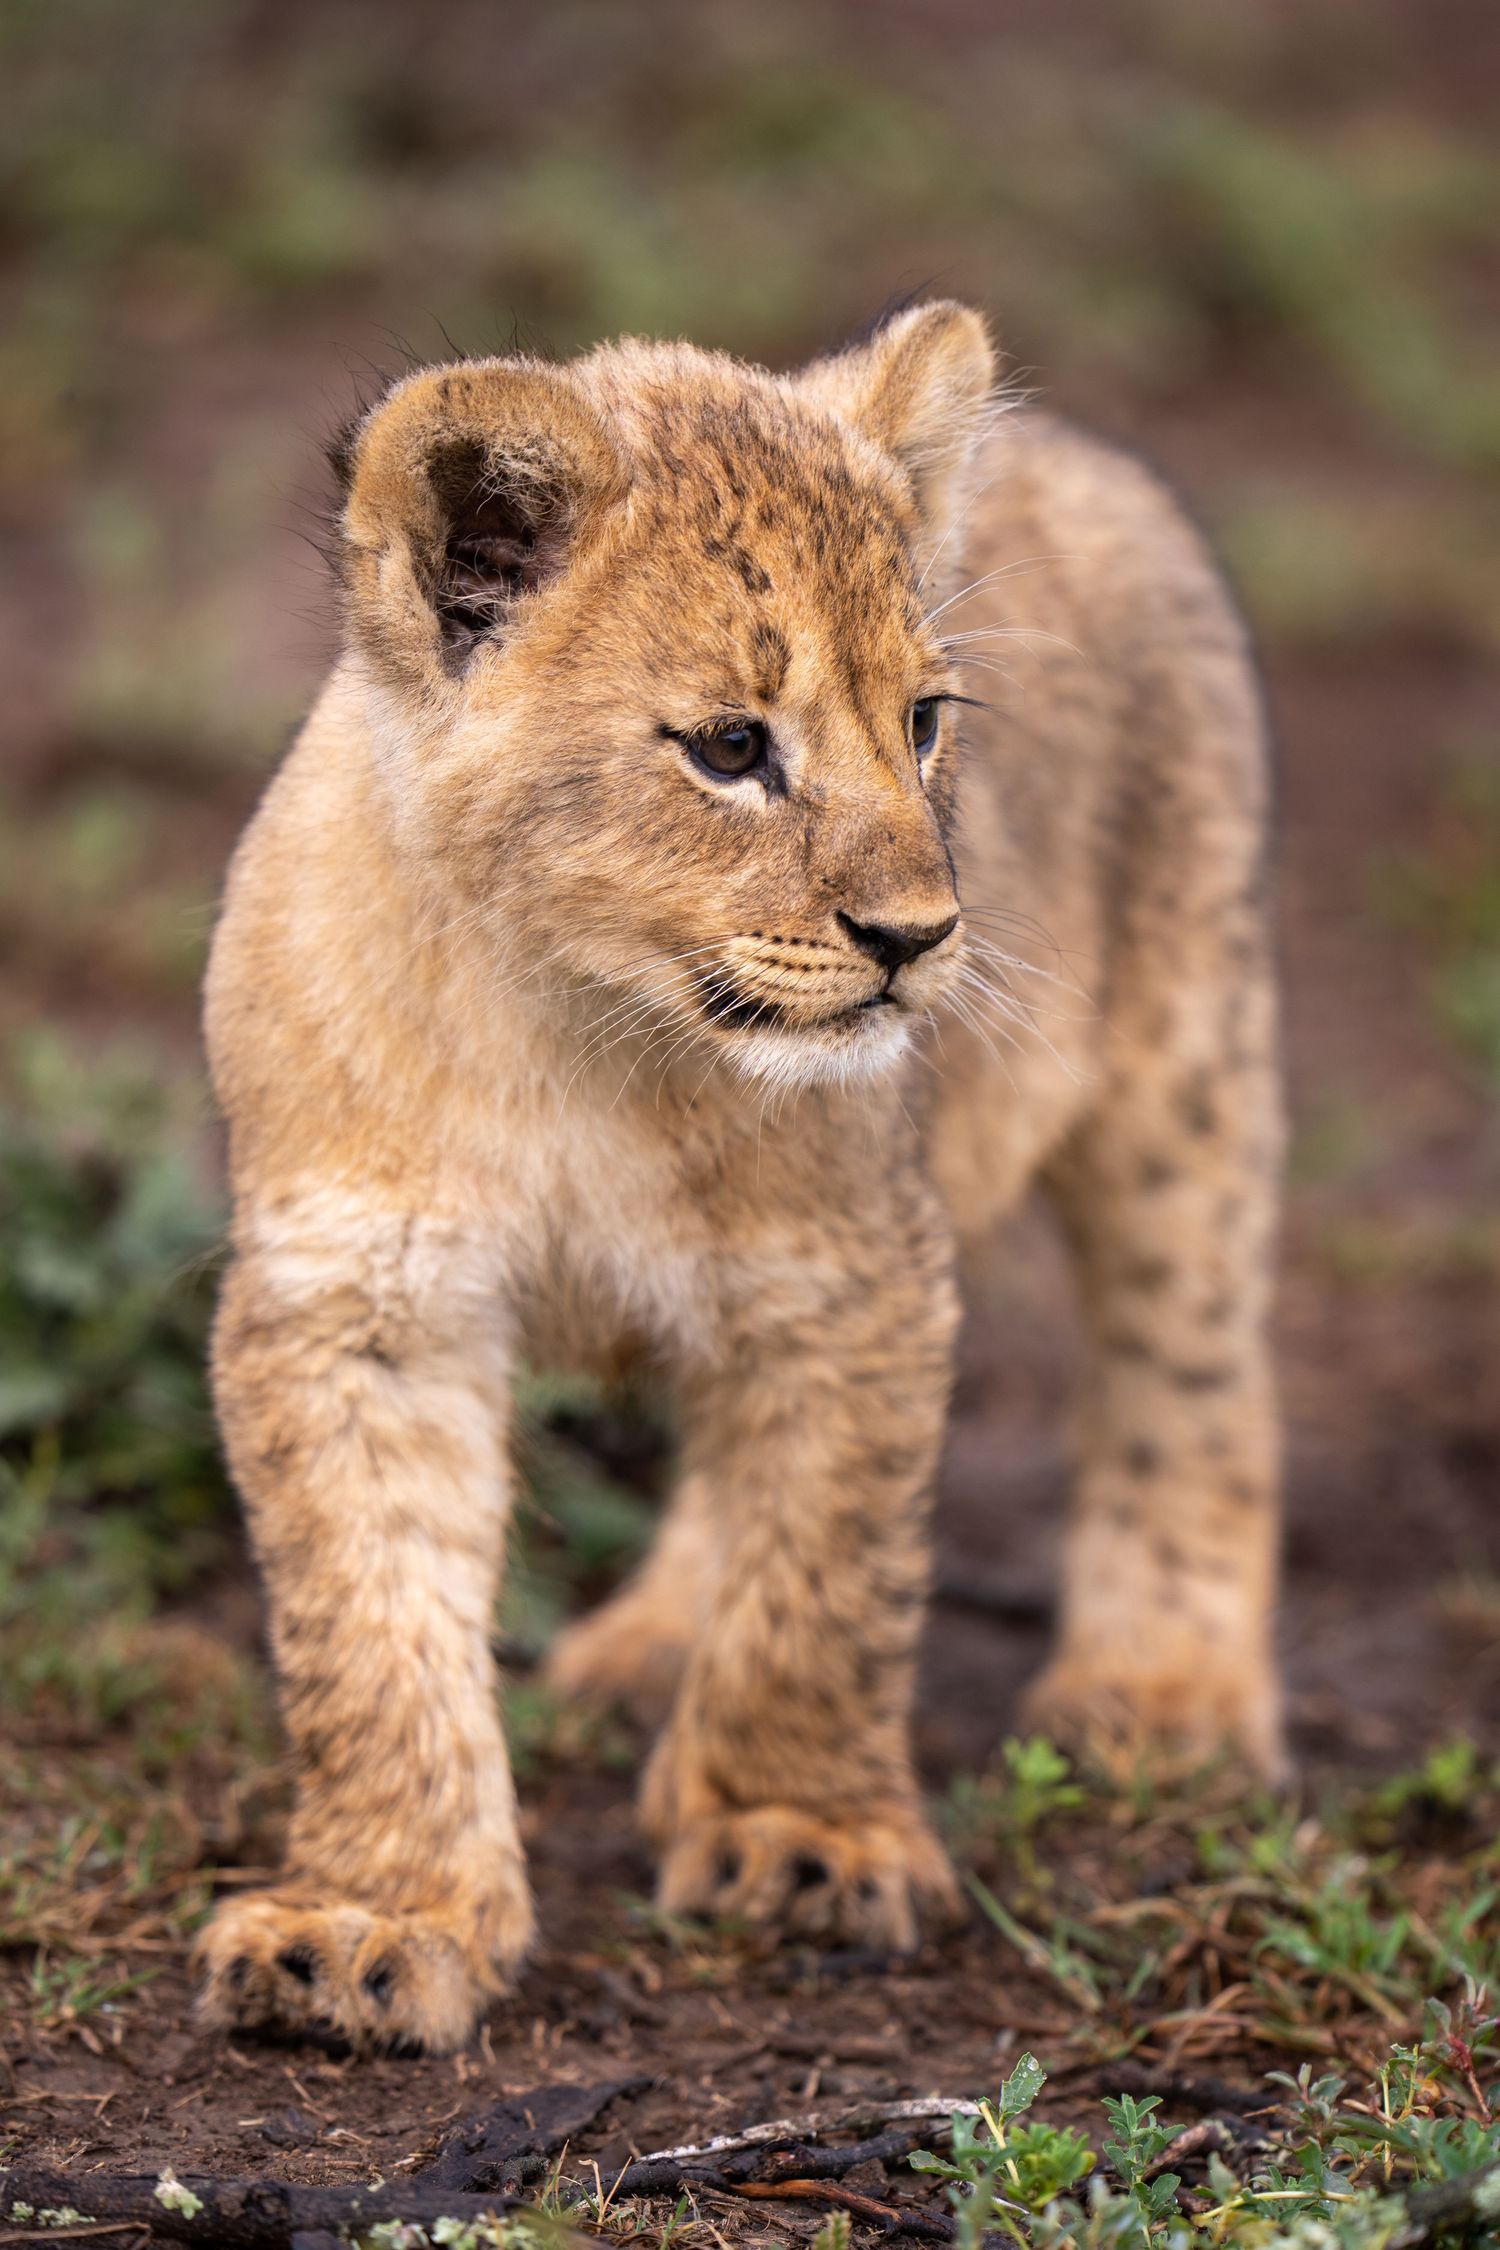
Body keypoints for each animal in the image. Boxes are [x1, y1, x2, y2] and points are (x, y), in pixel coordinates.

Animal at [196, 303, 1281, 2054]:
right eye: (729, 749)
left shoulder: (853, 1269)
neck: (582, 1024)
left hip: (1186, 1061)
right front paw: (371, 1918)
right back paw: (648, 1648)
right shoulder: (358, 1299)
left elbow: (826, 1570)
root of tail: (1080, 450)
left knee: (1192, 1368)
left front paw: (799, 1832)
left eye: (922, 721)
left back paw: (1166, 1689)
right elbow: (368, 1631)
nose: (917, 937)